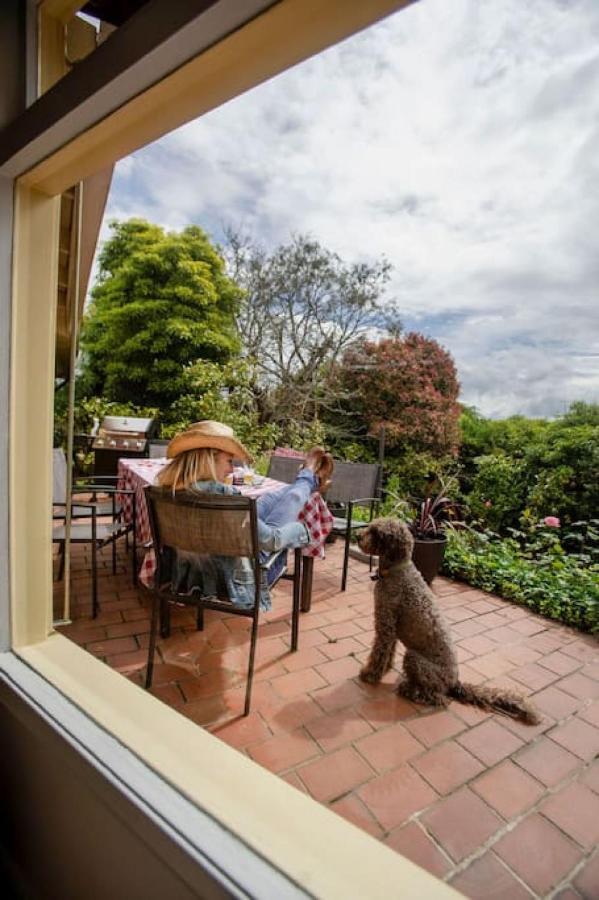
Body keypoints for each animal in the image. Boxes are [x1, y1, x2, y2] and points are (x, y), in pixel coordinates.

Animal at [358, 520, 540, 724]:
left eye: (376, 532)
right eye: (371, 527)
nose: (357, 536)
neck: (397, 570)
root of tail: (454, 683)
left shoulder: (386, 625)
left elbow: (379, 652)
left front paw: (370, 675)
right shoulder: (392, 627)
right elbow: (388, 652)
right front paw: (386, 669)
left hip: (414, 659)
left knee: (439, 698)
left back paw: (410, 690)